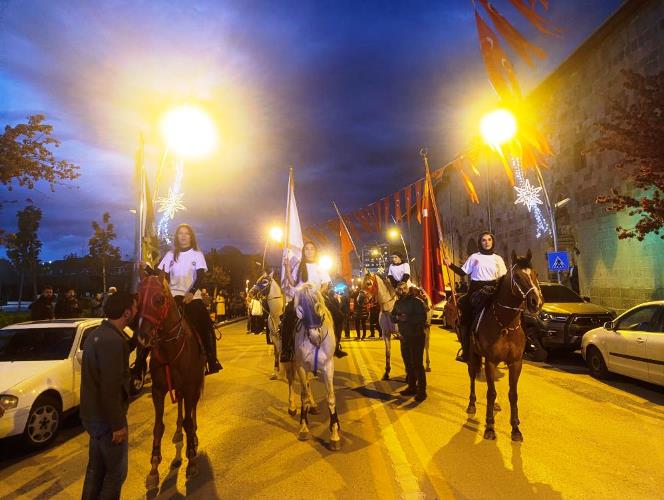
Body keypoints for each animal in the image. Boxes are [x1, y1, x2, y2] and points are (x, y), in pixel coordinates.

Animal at [136, 276, 206, 486]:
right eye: (137, 297)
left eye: (159, 299)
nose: (142, 337)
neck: (171, 347)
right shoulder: (158, 391)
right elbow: (158, 427)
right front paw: (153, 468)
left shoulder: (190, 387)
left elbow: (189, 421)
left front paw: (191, 460)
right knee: (181, 406)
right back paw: (177, 432)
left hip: (195, 386)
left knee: (191, 410)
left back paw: (193, 436)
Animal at [292, 284, 340, 452]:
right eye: (300, 309)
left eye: (318, 306)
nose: (314, 337)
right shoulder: (300, 366)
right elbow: (304, 396)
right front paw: (303, 428)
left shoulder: (328, 366)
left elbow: (331, 398)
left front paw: (335, 434)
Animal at [464, 250, 544, 442]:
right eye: (517, 276)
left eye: (536, 273)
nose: (536, 302)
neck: (505, 324)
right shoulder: (491, 361)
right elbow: (490, 393)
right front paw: (489, 427)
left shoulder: (515, 363)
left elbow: (513, 394)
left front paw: (515, 428)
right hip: (472, 355)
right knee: (472, 376)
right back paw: (472, 404)